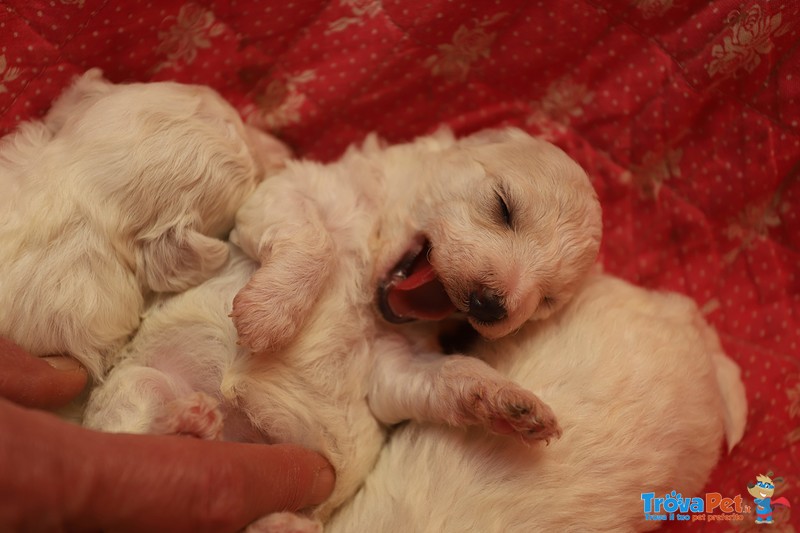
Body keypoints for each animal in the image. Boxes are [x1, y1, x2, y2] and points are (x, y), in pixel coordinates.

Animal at [84, 127, 604, 524]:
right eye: (503, 206)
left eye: (546, 300)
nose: (492, 307)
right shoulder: (285, 193)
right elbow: (317, 240)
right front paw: (266, 316)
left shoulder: (392, 368)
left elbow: (448, 373)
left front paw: (516, 405)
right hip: (138, 384)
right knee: (131, 431)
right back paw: (184, 424)